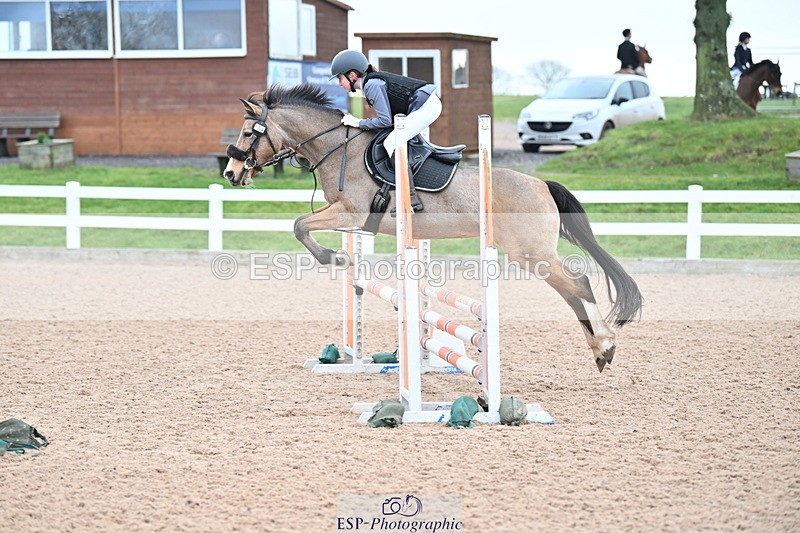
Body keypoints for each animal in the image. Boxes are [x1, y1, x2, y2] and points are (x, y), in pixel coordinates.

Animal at [222, 84, 643, 372]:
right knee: (572, 292)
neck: (338, 149)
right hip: (533, 255)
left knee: (579, 285)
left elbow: (299, 225)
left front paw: (335, 257)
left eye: (247, 133)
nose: (230, 173)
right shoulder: (341, 211)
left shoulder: (351, 214)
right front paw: (341, 258)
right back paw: (600, 352)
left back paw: (606, 345)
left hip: (530, 253)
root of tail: (542, 184)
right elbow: (301, 224)